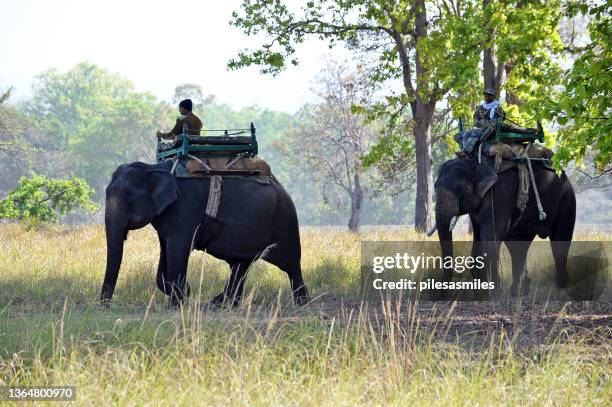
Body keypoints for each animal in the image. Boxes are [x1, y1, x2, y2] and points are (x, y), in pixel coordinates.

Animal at [101, 159, 310, 306]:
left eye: (129, 197)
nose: (104, 306)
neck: (153, 167)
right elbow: (165, 249)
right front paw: (182, 293)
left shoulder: (186, 206)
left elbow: (178, 247)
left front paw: (178, 302)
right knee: (241, 265)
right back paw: (222, 304)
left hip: (285, 220)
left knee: (291, 264)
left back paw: (302, 303)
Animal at [430, 156, 572, 296]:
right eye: (435, 187)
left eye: (458, 189)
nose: (445, 295)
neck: (475, 161)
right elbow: (478, 237)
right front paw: (481, 292)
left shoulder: (501, 194)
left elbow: (491, 237)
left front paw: (493, 293)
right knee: (517, 246)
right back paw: (517, 292)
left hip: (566, 199)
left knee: (560, 242)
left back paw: (560, 290)